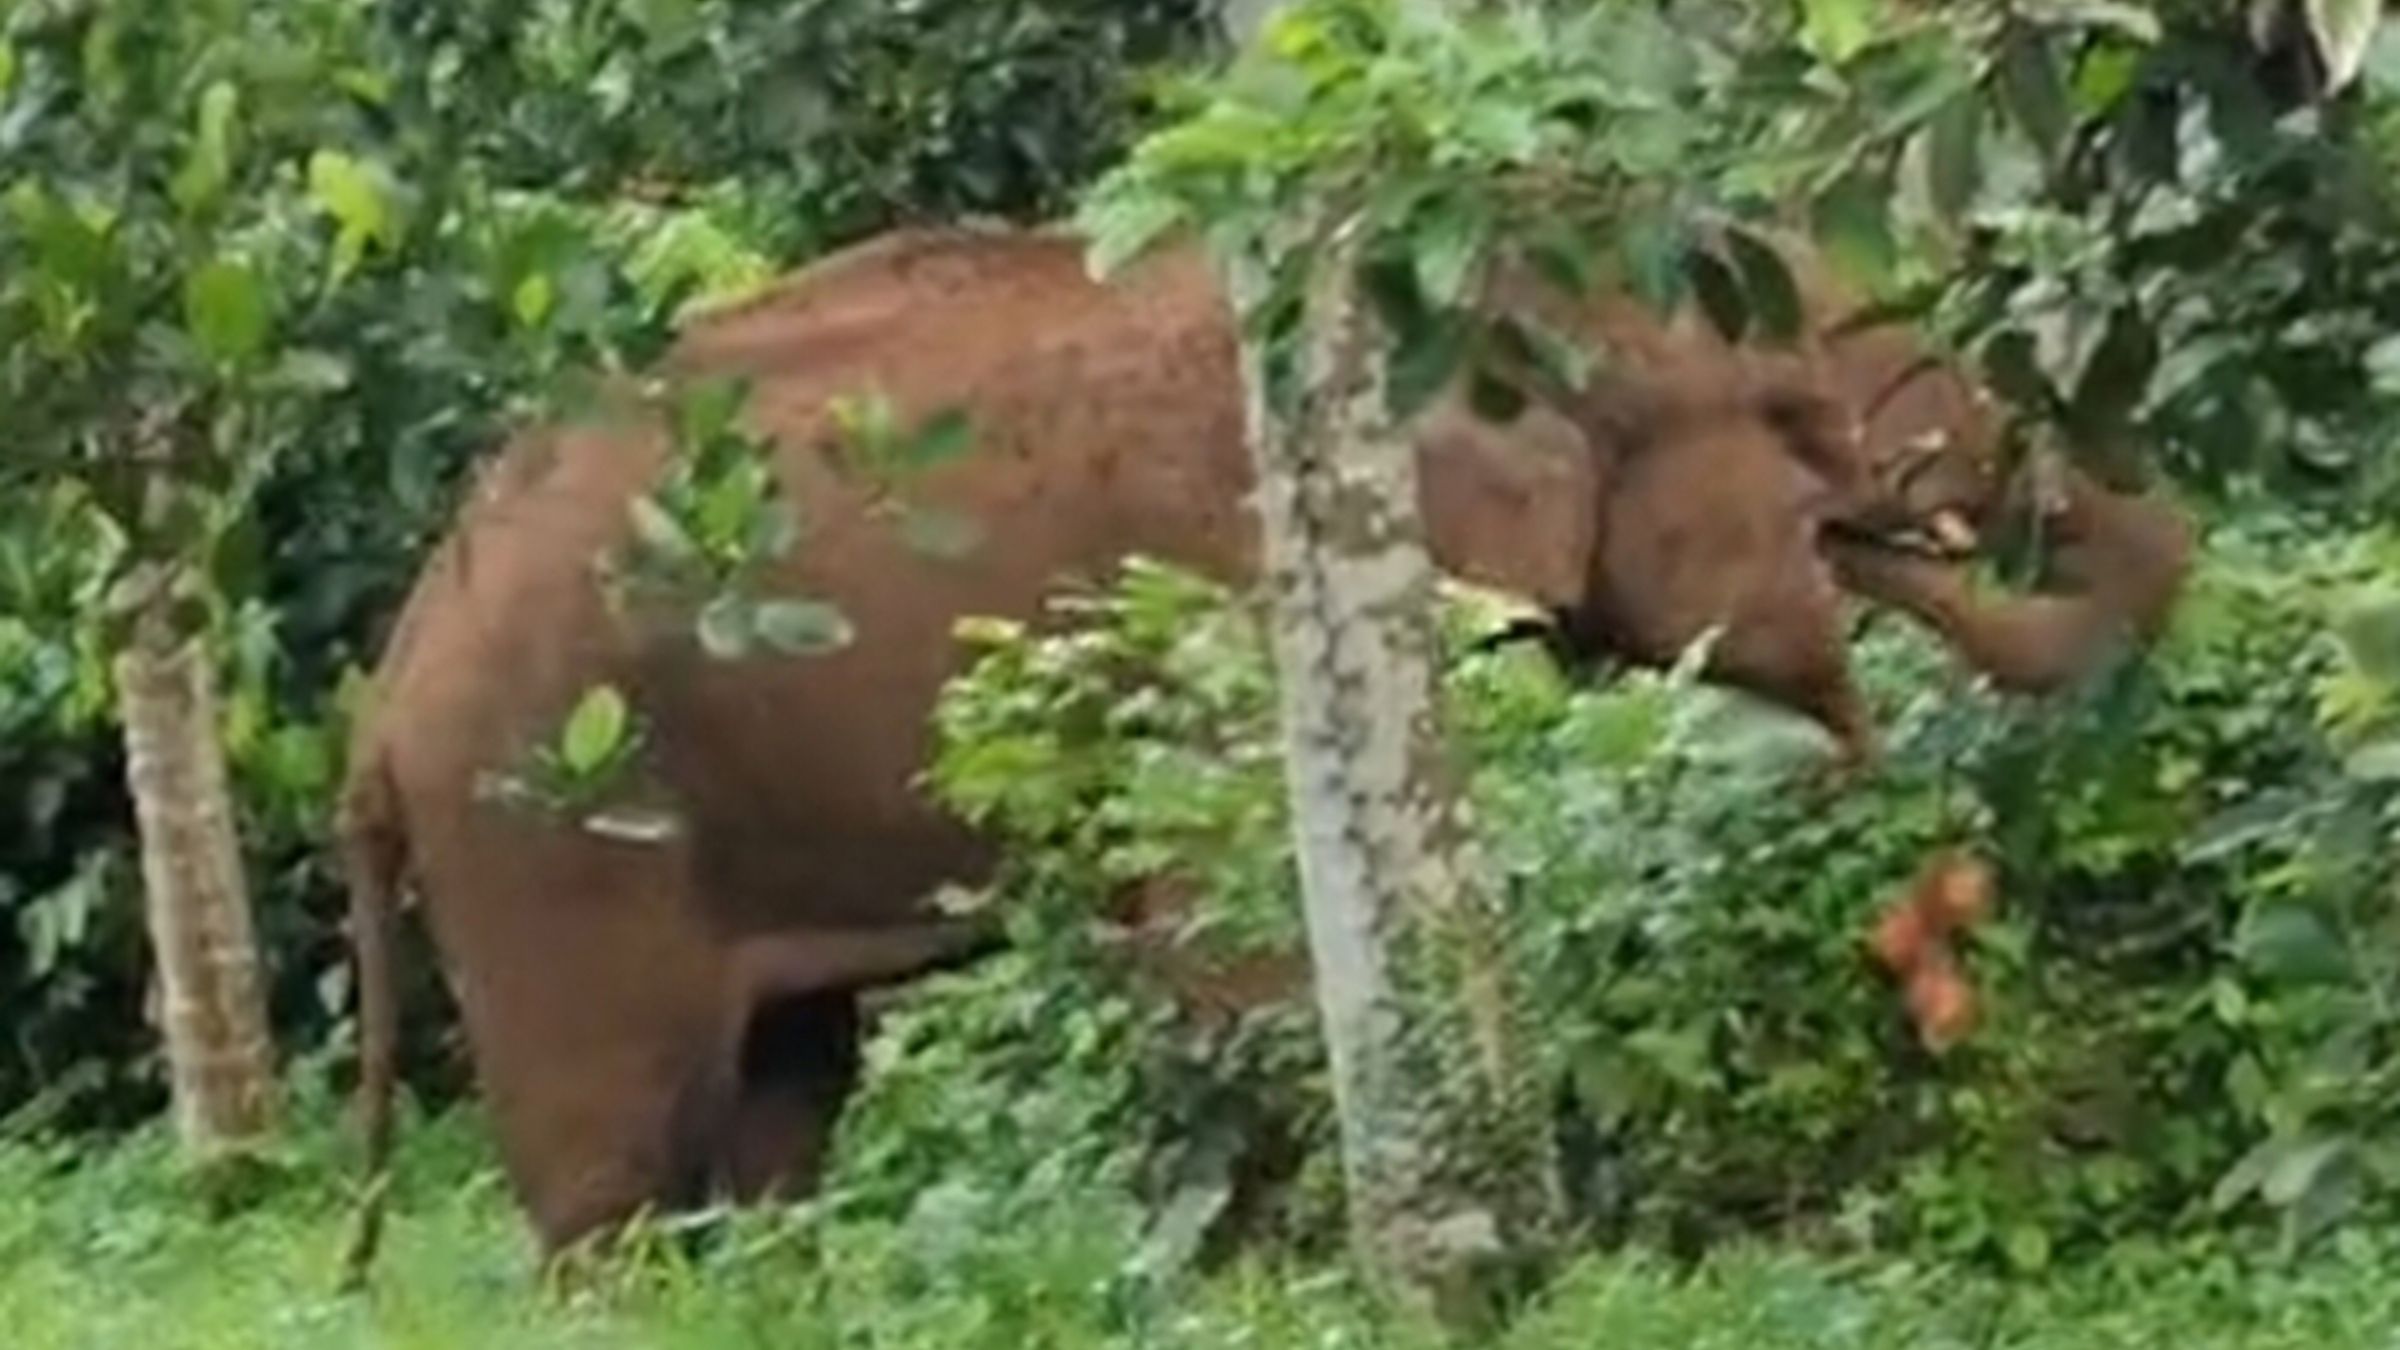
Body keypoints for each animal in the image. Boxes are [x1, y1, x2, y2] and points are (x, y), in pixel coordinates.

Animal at [336, 221, 2190, 1269]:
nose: (1893, 537)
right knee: (617, 1166)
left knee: (784, 1104)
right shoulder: (1241, 601)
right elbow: (1233, 941)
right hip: (549, 824)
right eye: (1793, 416)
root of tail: (384, 686)